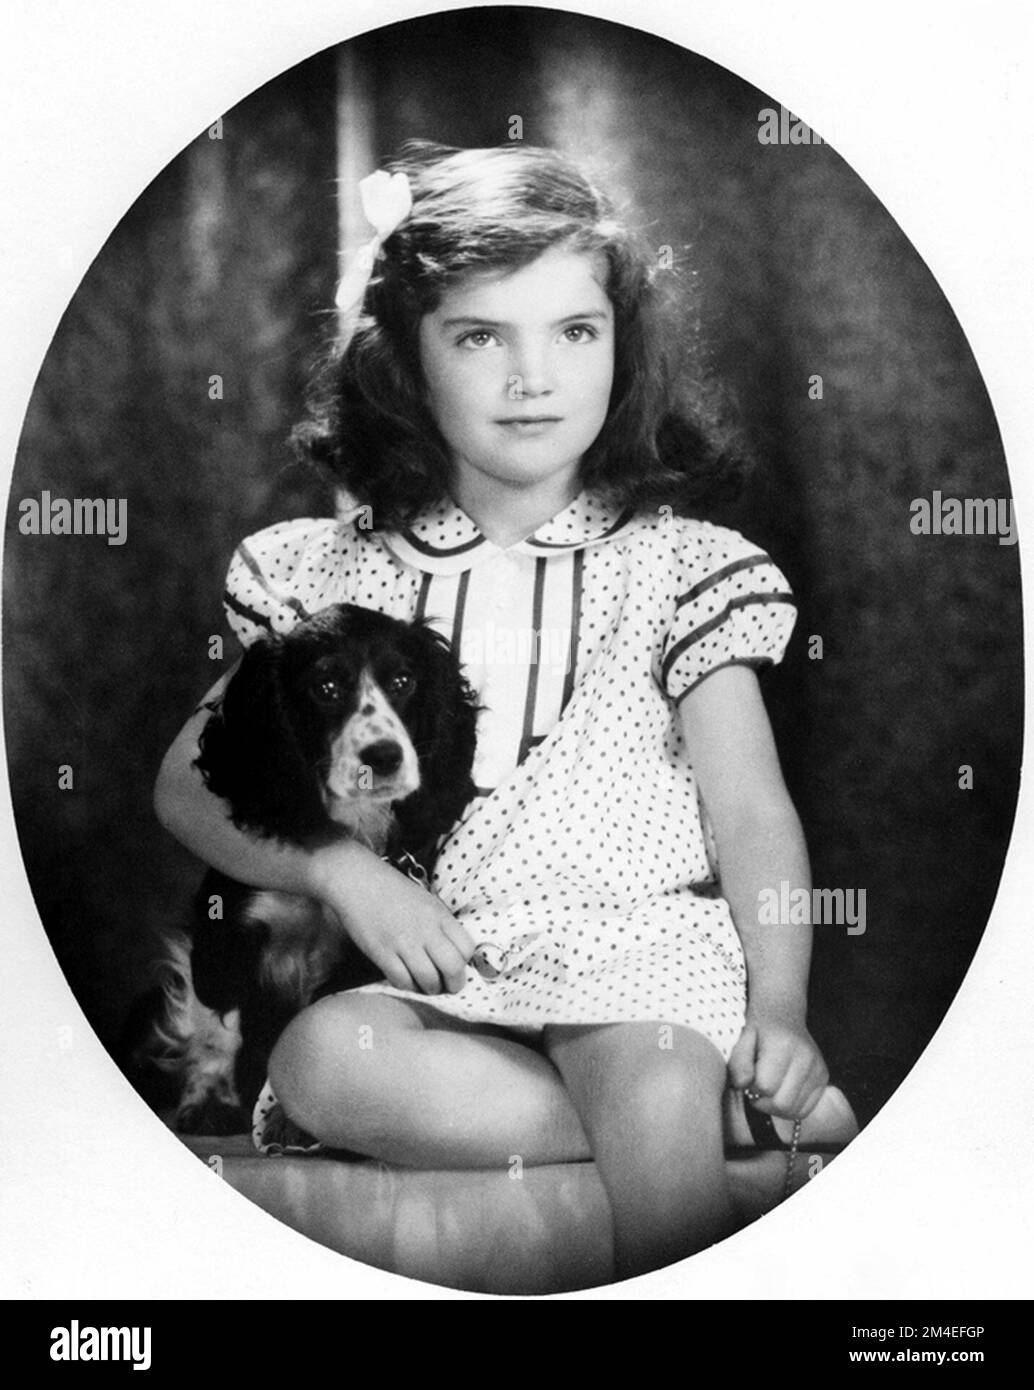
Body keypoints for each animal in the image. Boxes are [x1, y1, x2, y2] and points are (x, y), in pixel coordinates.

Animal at [137, 603, 480, 1134]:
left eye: (403, 681)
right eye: (327, 687)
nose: (384, 757)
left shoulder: (359, 956)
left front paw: (285, 1119)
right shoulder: (225, 930)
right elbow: (217, 1017)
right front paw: (211, 1098)